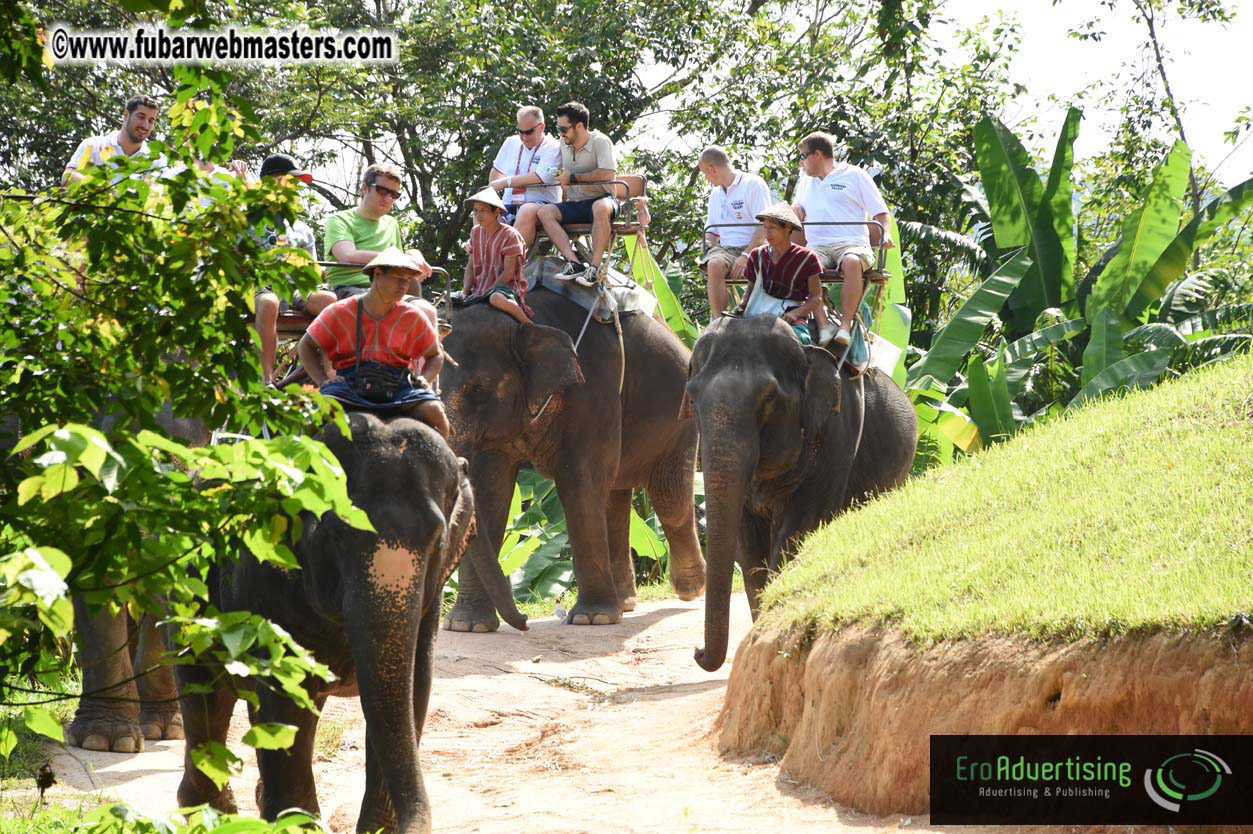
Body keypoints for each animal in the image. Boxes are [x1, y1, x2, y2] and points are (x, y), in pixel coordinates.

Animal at [174, 412, 475, 834]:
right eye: (337, 535)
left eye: (438, 542)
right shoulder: (263, 573)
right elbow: (284, 696)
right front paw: (296, 826)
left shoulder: (429, 605)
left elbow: (414, 689)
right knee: (205, 692)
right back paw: (212, 815)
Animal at [439, 284, 706, 631]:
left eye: (479, 389)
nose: (524, 620)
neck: (527, 321)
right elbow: (489, 493)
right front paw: (467, 626)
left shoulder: (593, 391)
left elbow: (580, 483)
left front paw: (592, 618)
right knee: (615, 497)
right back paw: (625, 602)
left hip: (682, 418)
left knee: (669, 497)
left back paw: (690, 590)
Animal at [682, 316, 917, 671]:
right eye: (692, 397)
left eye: (768, 398)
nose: (696, 651)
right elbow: (745, 542)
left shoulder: (838, 431)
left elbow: (800, 525)